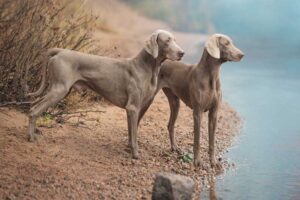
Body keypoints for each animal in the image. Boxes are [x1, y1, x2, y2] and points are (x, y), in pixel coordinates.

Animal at [27, 29, 184, 159]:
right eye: (167, 40)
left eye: (175, 40)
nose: (182, 53)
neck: (147, 67)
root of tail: (59, 51)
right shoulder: (133, 107)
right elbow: (134, 134)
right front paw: (135, 154)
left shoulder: (133, 109)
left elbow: (131, 132)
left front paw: (129, 147)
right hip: (60, 89)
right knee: (35, 110)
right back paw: (31, 137)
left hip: (57, 89)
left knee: (33, 105)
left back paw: (36, 131)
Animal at [157, 33, 244, 166]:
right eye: (226, 43)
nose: (242, 54)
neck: (212, 76)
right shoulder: (198, 112)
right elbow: (197, 140)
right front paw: (197, 161)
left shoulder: (214, 113)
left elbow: (212, 141)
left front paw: (213, 161)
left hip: (175, 102)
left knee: (170, 125)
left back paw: (174, 148)